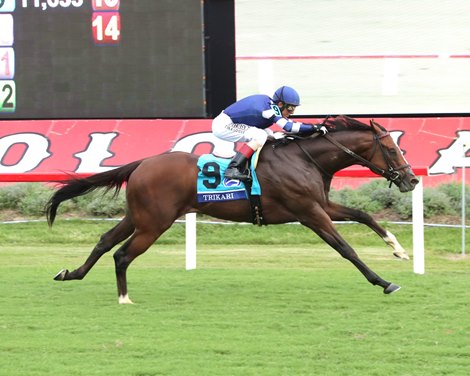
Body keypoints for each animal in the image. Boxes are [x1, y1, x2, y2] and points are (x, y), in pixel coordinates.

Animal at [45, 114, 418, 302]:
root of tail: (143, 163)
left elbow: (364, 215)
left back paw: (70, 273)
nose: (412, 179)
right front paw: (384, 282)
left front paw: (398, 249)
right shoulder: (309, 212)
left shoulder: (320, 204)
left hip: (139, 215)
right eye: (392, 149)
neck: (304, 159)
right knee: (121, 254)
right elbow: (345, 249)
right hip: (154, 223)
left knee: (105, 241)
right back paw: (124, 297)